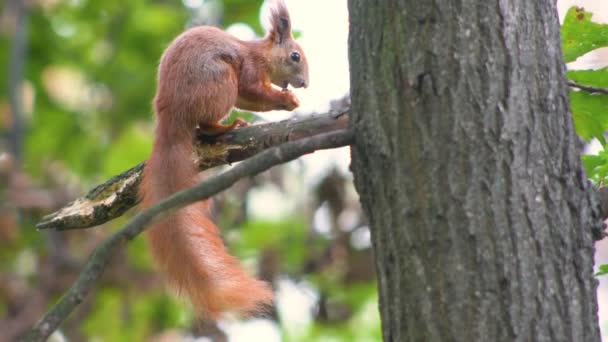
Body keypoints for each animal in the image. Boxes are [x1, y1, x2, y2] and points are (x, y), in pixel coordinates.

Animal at [141, 1, 308, 320]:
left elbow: (250, 98)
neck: (259, 53)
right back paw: (226, 127)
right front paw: (287, 101)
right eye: (295, 56)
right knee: (205, 125)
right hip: (220, 82)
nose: (304, 83)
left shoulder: (245, 91)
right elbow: (253, 90)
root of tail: (170, 115)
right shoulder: (250, 70)